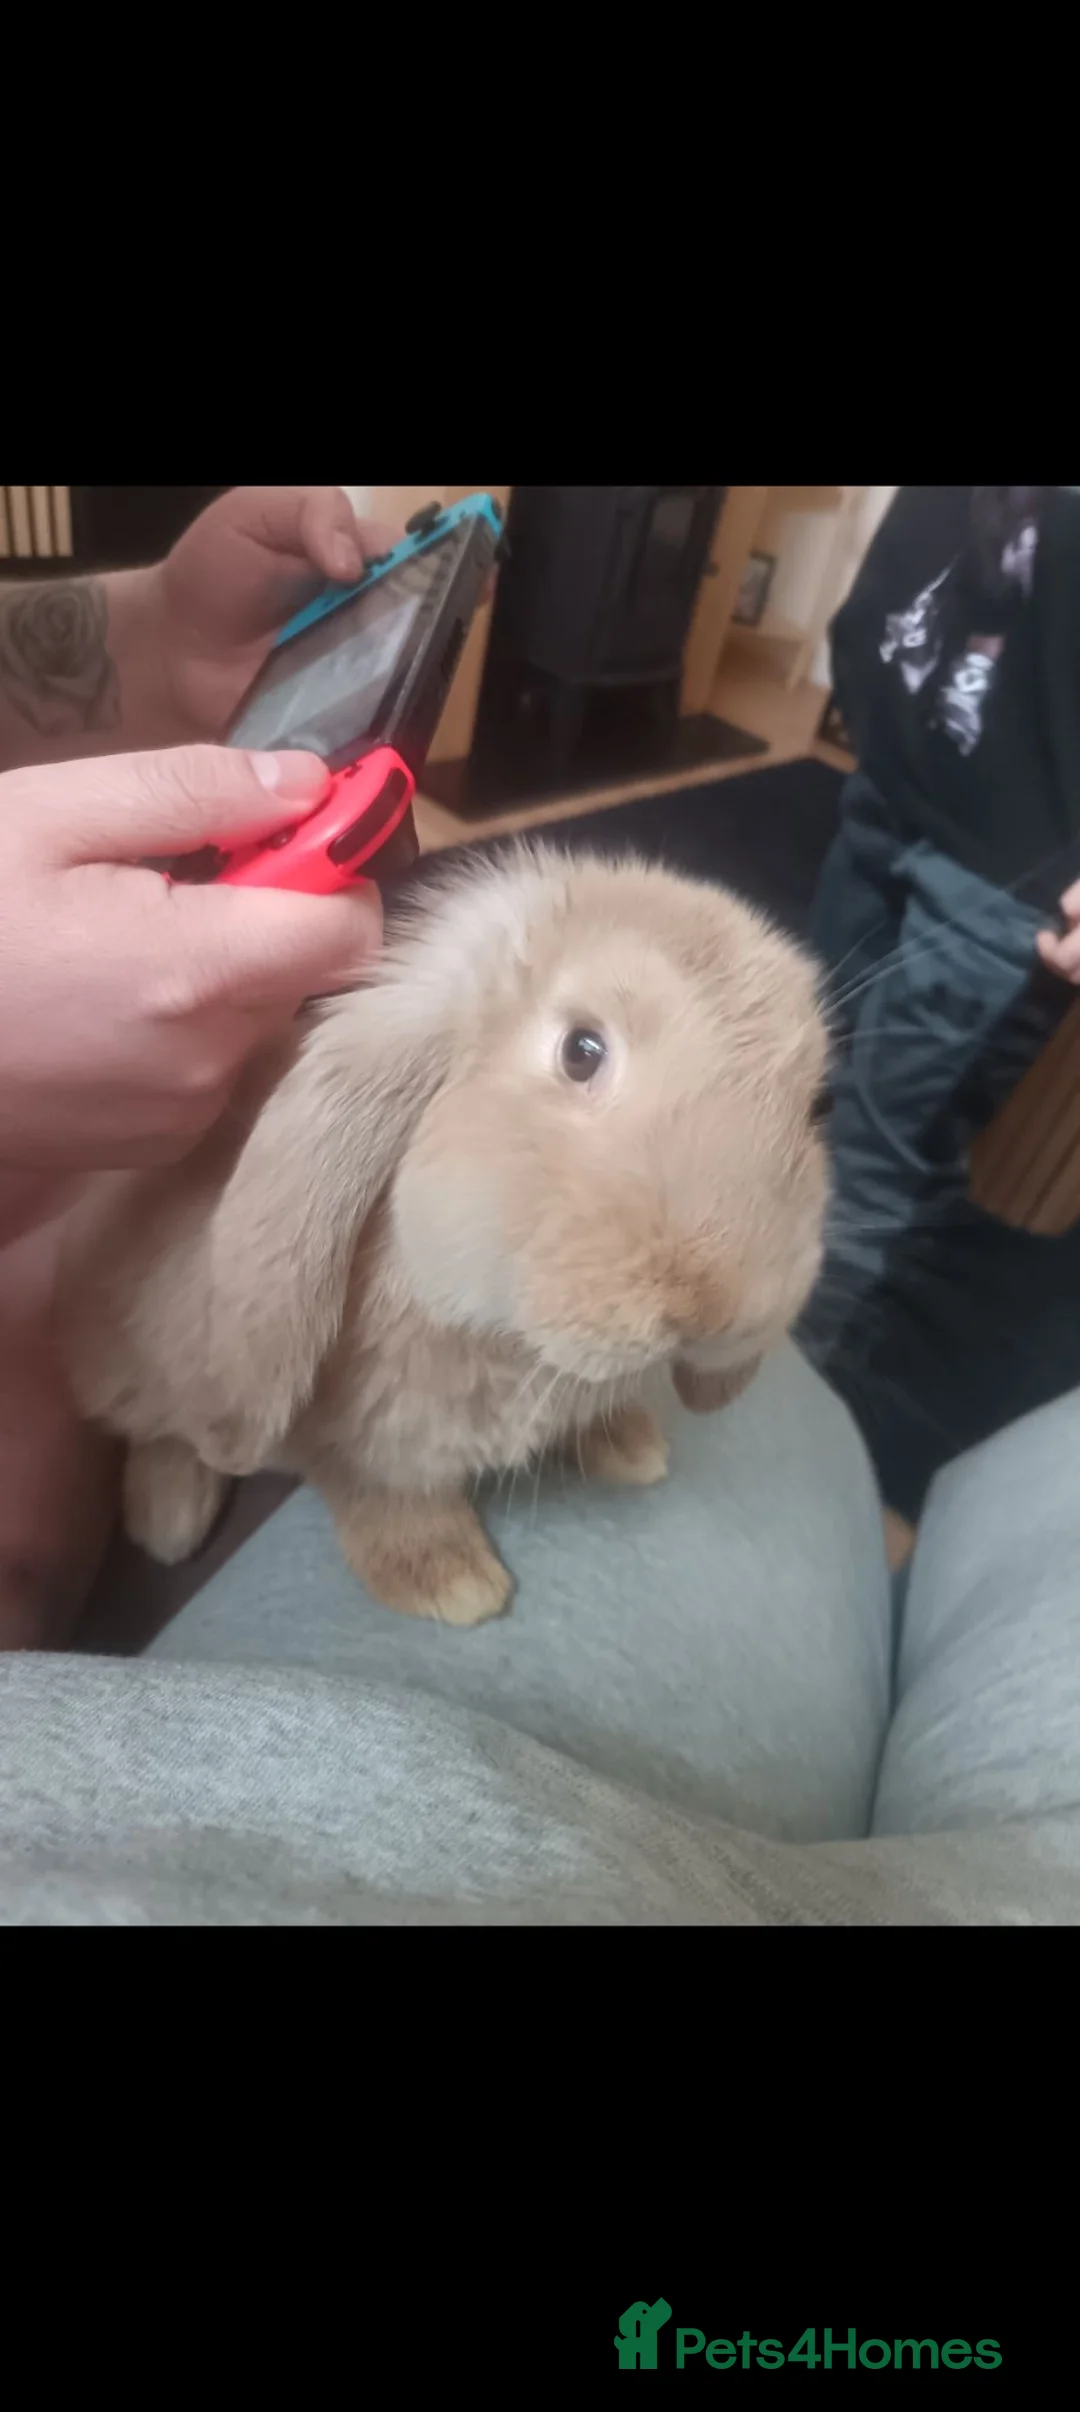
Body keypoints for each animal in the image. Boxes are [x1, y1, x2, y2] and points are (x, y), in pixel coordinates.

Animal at [60, 842, 830, 1628]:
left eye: (815, 1105)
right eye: (581, 1050)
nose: (723, 1311)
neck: (509, 1340)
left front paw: (629, 1444)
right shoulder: (357, 1446)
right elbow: (383, 1499)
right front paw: (450, 1583)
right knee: (153, 1427)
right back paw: (169, 1520)